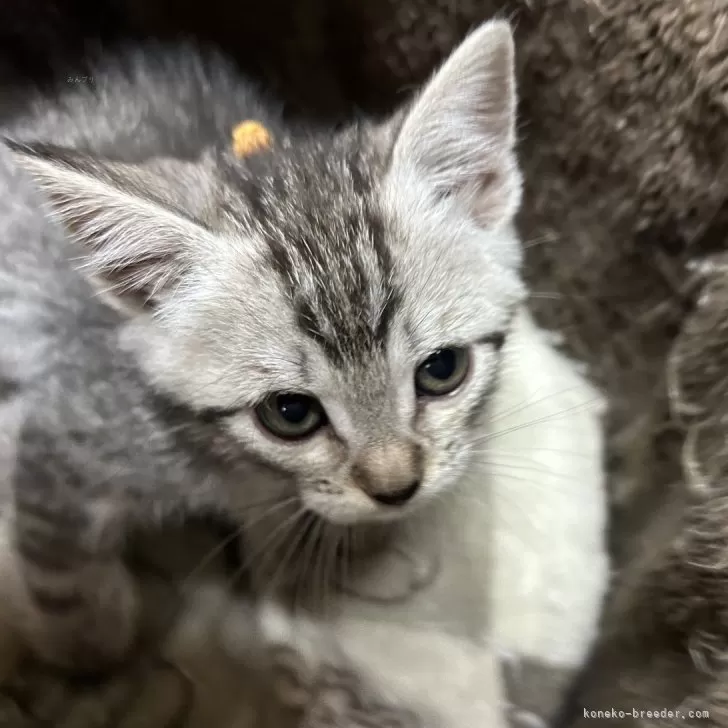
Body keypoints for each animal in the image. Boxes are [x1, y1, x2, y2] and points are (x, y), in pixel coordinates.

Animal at [0, 19, 524, 672]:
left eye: (443, 369)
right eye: (290, 413)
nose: (397, 489)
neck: (230, 463)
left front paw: (338, 562)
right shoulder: (64, 430)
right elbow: (60, 563)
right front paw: (84, 644)